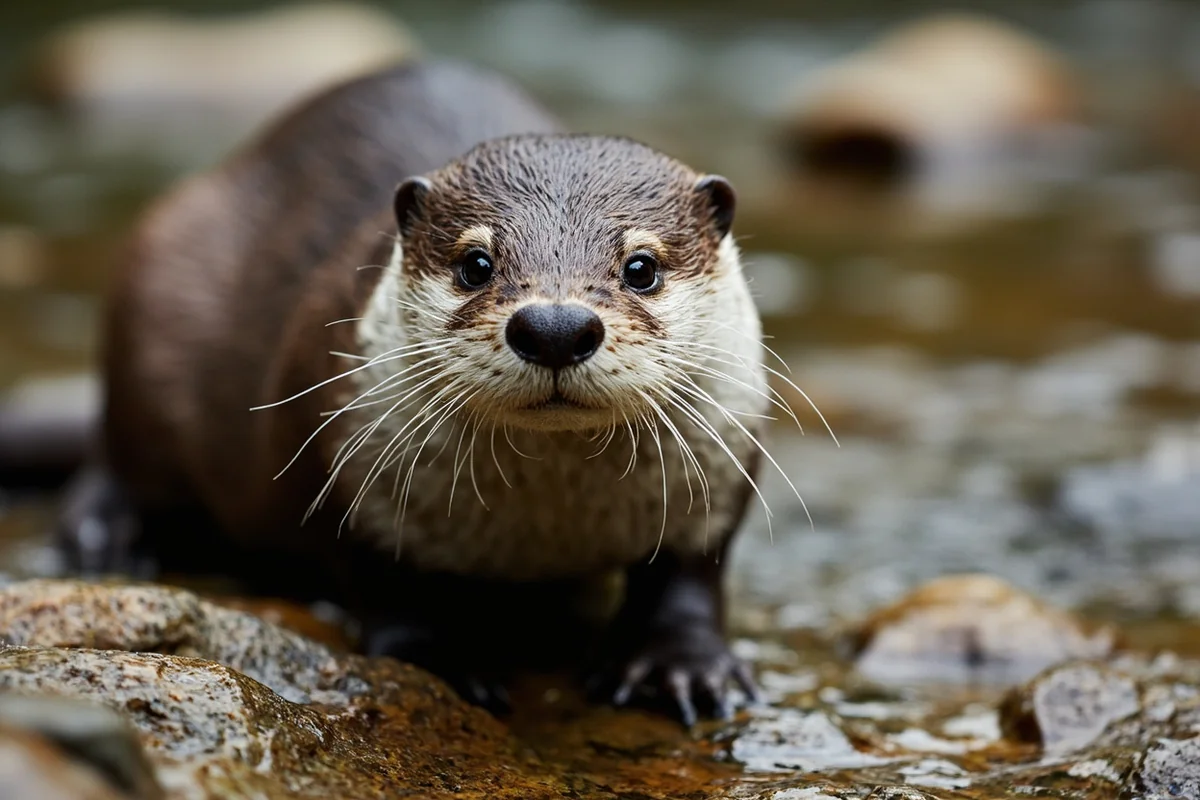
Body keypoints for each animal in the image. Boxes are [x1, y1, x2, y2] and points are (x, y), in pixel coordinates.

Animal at [55, 58, 802, 725]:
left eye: (641, 267)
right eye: (476, 262)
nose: (555, 326)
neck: (540, 533)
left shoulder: (724, 454)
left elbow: (690, 573)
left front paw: (680, 664)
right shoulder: (337, 451)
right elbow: (383, 580)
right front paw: (439, 656)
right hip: (153, 298)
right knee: (119, 451)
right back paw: (105, 531)